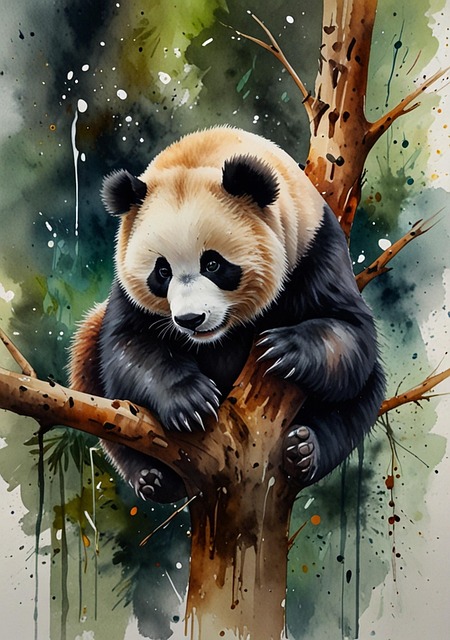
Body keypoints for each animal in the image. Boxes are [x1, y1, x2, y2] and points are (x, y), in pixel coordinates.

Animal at [69, 126, 385, 503]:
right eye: (162, 272)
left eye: (213, 264)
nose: (190, 320)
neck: (207, 151)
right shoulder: (127, 292)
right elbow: (128, 346)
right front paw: (190, 400)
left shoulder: (315, 246)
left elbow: (352, 331)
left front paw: (284, 349)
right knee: (91, 361)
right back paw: (154, 477)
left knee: (361, 397)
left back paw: (305, 448)